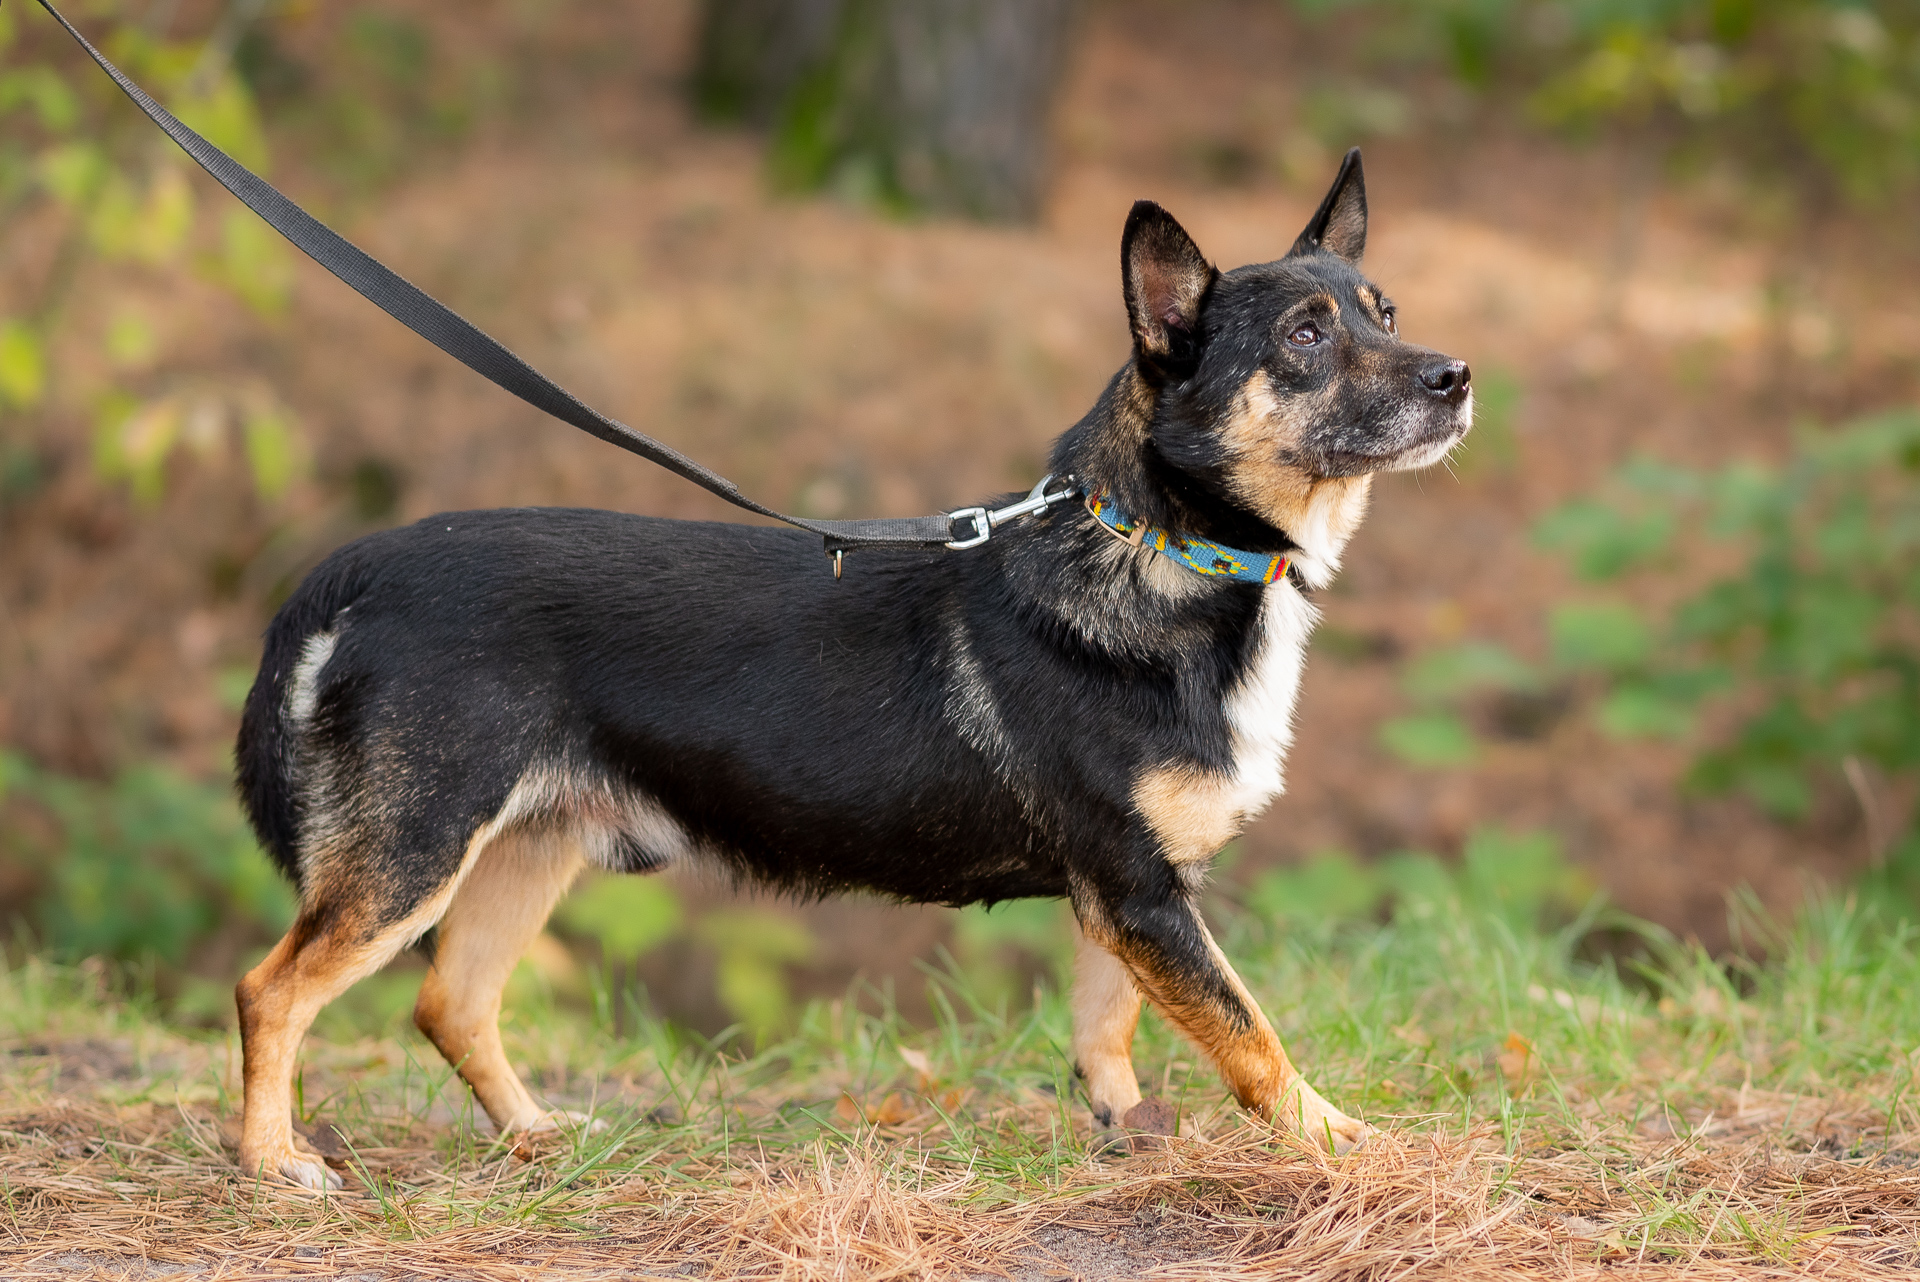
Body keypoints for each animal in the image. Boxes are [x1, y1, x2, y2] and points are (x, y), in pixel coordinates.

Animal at [236, 152, 1466, 1189]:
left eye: (1386, 314)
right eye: (1305, 336)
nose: (1457, 376)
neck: (1165, 541)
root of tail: (368, 566)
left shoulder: (1136, 897)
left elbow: (1106, 1031)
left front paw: (1129, 1135)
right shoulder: (1140, 889)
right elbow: (1250, 1036)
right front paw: (1341, 1141)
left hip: (526, 846)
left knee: (451, 1002)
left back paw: (535, 1134)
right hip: (411, 853)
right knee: (271, 990)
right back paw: (271, 1161)